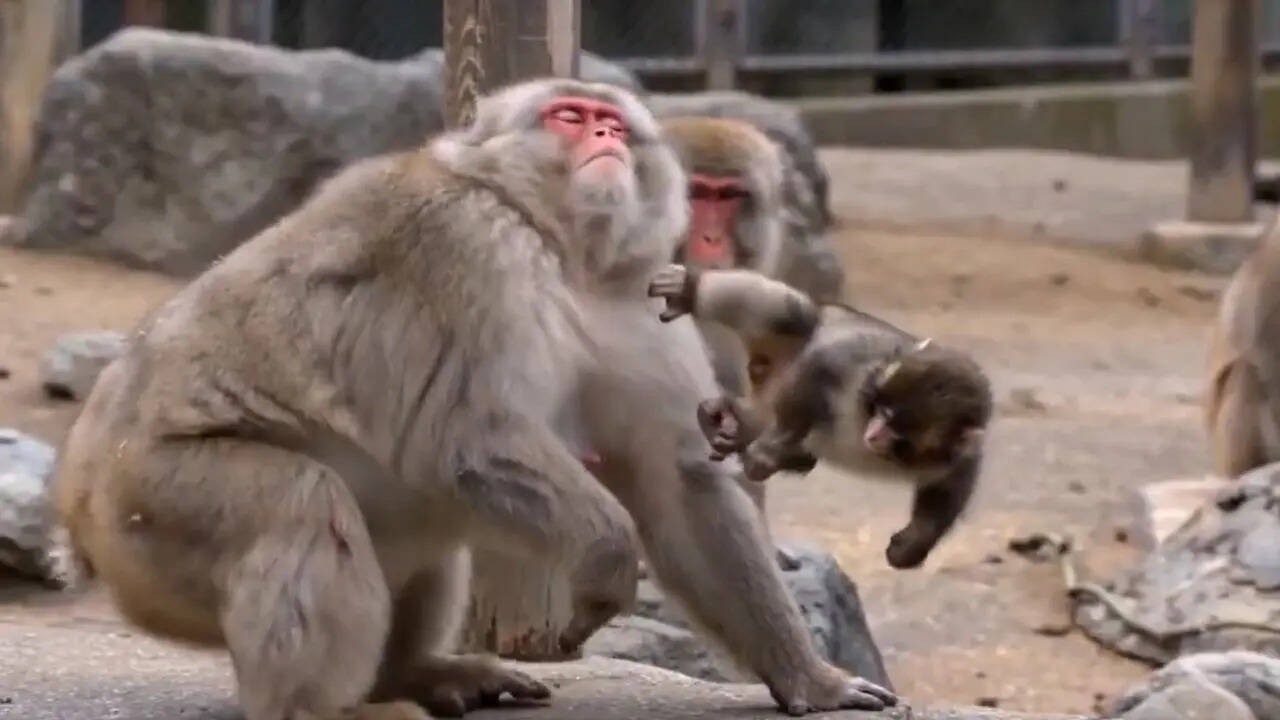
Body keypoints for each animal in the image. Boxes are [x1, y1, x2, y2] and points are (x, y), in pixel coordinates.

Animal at [52, 77, 896, 720]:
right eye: (568, 116)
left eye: (614, 121)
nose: (604, 138)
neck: (561, 248)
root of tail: (77, 511)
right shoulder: (464, 246)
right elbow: (463, 438)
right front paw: (606, 566)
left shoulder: (638, 296)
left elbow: (680, 482)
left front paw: (810, 680)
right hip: (149, 510)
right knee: (305, 506)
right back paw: (319, 708)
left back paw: (410, 674)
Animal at [649, 264, 993, 570]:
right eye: (882, 411)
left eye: (897, 429)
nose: (873, 434)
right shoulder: (861, 370)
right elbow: (821, 364)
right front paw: (770, 450)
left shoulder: (955, 452)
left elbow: (950, 486)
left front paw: (914, 543)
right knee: (792, 315)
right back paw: (690, 289)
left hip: (766, 401)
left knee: (786, 439)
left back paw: (733, 424)